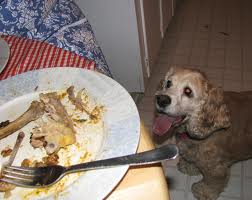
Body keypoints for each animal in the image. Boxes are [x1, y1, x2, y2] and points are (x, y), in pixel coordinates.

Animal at [153, 67, 252, 200]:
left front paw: (203, 192)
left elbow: (212, 183)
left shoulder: (217, 169)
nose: (161, 99)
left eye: (188, 91)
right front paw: (189, 167)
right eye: (168, 83)